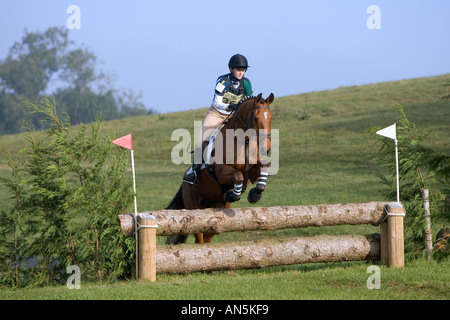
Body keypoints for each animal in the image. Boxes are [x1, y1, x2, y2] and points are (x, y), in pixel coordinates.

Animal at [165, 92, 274, 245]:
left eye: (271, 118)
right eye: (256, 118)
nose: (267, 147)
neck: (242, 141)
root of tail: (183, 184)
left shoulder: (253, 172)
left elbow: (264, 169)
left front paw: (255, 194)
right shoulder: (222, 173)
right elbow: (238, 175)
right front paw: (233, 194)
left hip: (217, 213)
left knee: (208, 235)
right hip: (194, 208)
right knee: (199, 237)